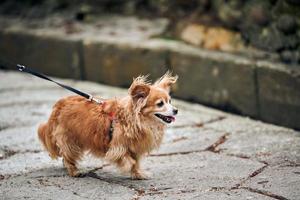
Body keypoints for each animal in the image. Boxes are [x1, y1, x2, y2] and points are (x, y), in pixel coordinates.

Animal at [37, 72, 178, 180]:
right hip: (69, 140)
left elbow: (135, 162)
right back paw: (74, 171)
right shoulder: (117, 147)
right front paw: (128, 166)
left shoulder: (134, 149)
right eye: (160, 104)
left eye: (170, 101)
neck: (140, 120)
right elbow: (127, 159)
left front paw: (138, 174)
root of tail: (59, 105)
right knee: (68, 156)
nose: (176, 110)